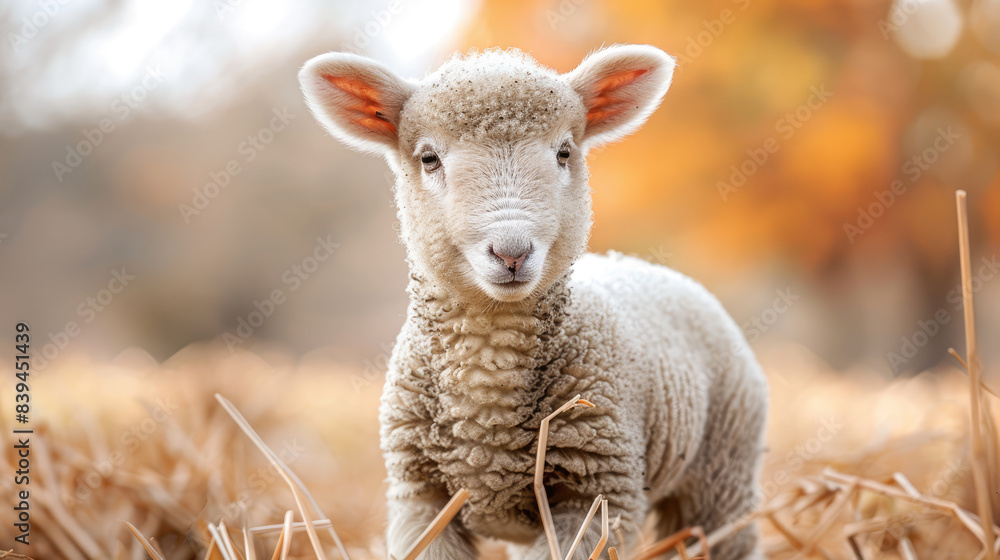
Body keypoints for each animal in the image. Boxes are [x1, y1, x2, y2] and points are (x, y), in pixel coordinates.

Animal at [298, 45, 768, 560]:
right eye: (429, 158)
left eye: (564, 152)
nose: (512, 252)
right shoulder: (420, 499)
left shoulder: (595, 497)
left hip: (723, 472)